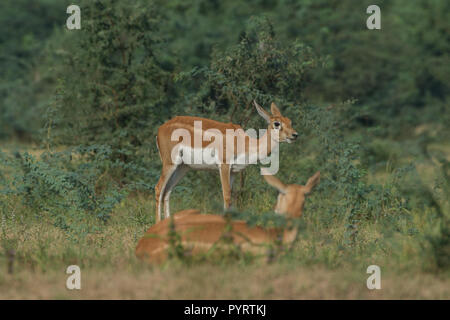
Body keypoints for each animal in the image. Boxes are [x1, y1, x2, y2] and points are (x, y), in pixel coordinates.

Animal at [155, 102, 298, 222]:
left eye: (290, 121)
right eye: (277, 123)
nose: (295, 135)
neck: (244, 143)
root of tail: (160, 129)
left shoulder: (233, 171)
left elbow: (231, 198)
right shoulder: (224, 165)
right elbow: (226, 195)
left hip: (182, 167)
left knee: (167, 190)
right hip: (169, 163)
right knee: (159, 188)